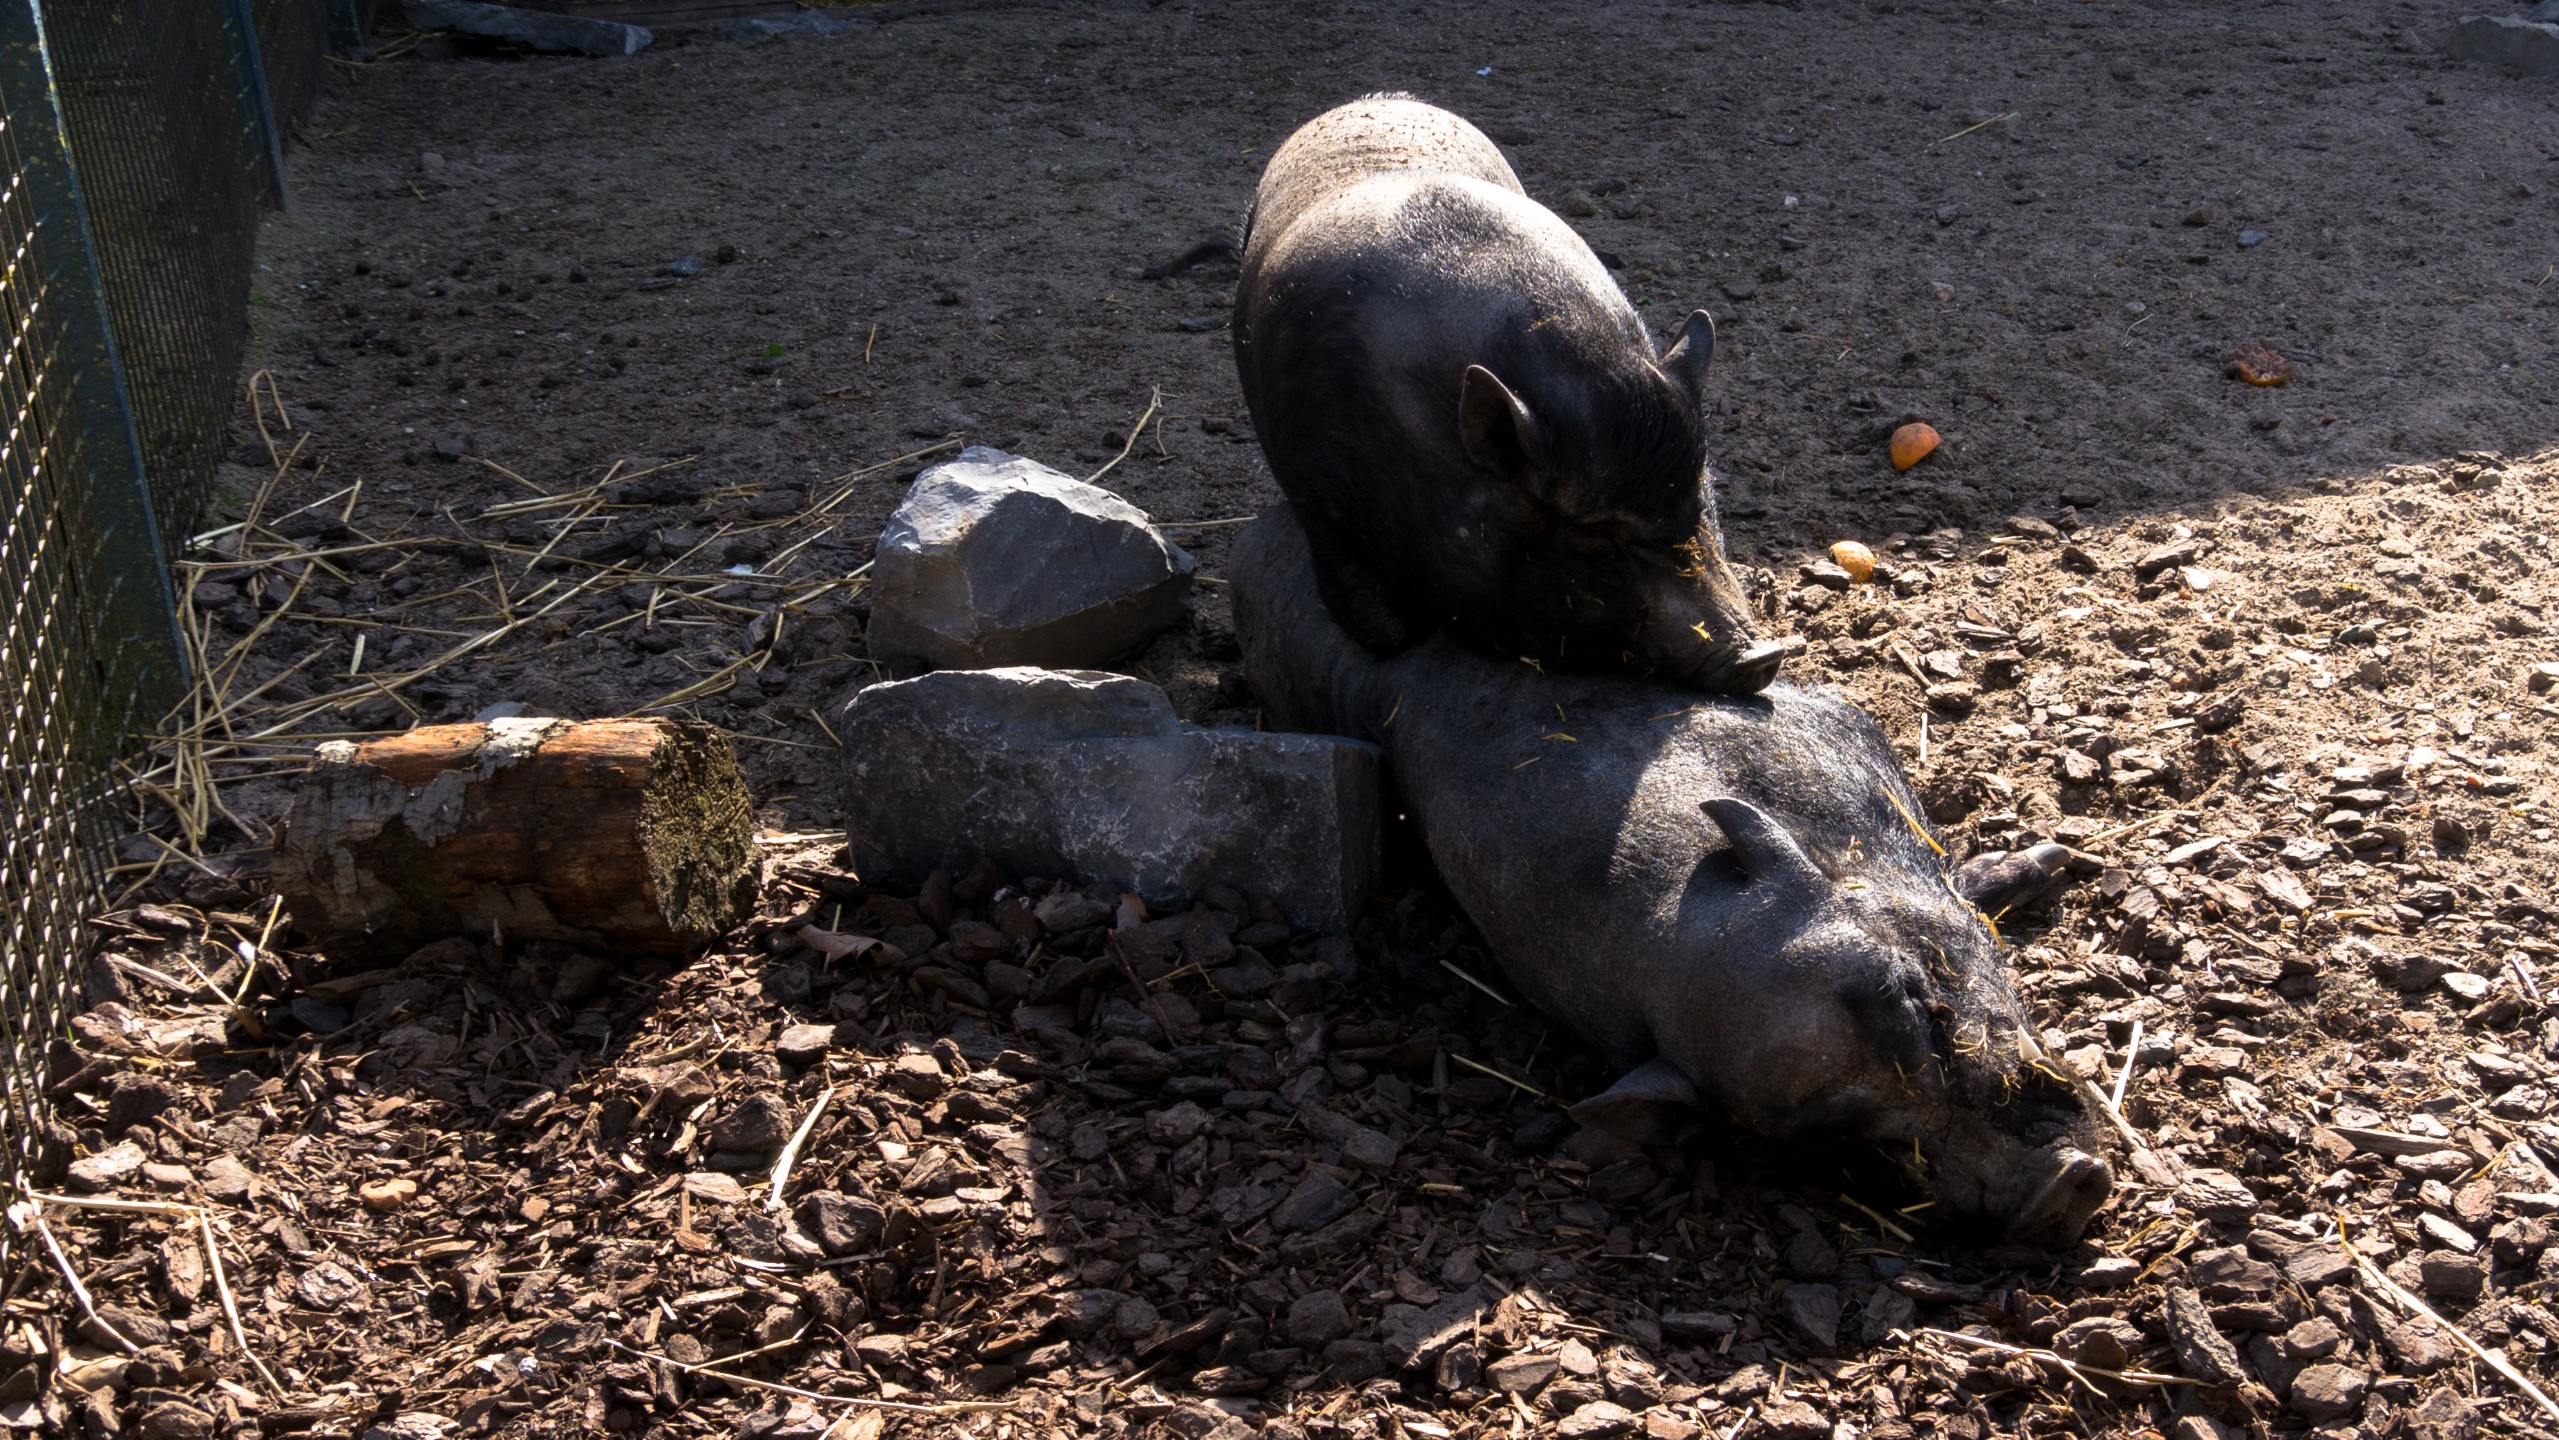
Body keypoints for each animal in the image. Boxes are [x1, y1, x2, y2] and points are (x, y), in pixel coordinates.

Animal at [1230, 509, 2112, 1246]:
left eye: (1914, 997)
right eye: (1853, 1134)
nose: (2055, 1191)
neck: (1672, 935)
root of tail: (1253, 535)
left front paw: (2055, 861)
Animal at [1232, 94, 1784, 696]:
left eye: (1700, 494)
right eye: (1595, 532)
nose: (1765, 654)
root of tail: (1369, 102)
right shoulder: (1317, 496)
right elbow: (1383, 630)